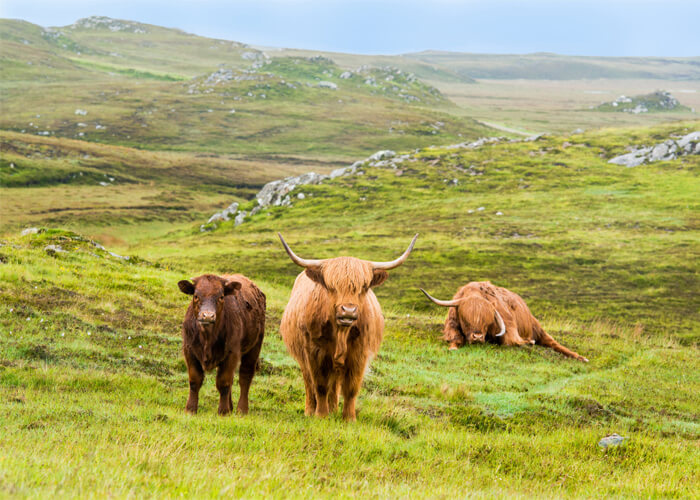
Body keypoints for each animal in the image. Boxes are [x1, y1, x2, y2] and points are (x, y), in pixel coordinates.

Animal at [179, 274, 266, 414]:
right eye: (196, 296)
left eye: (221, 297)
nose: (207, 316)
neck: (207, 338)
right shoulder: (189, 351)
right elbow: (195, 380)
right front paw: (190, 409)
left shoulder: (232, 353)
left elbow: (223, 382)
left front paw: (223, 411)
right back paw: (231, 407)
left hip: (254, 347)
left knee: (245, 377)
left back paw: (242, 410)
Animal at [278, 232, 418, 420]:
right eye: (331, 286)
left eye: (364, 287)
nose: (348, 311)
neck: (340, 334)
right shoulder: (314, 352)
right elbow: (320, 385)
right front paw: (321, 415)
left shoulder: (359, 353)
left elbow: (351, 388)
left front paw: (349, 418)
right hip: (303, 356)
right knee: (309, 382)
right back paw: (310, 410)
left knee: (334, 386)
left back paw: (334, 409)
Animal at [418, 284, 588, 362]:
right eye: (465, 320)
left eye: (487, 322)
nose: (477, 337)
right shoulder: (452, 326)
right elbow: (454, 341)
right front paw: (453, 347)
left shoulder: (509, 329)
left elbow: (511, 341)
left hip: (538, 328)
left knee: (553, 343)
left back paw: (581, 357)